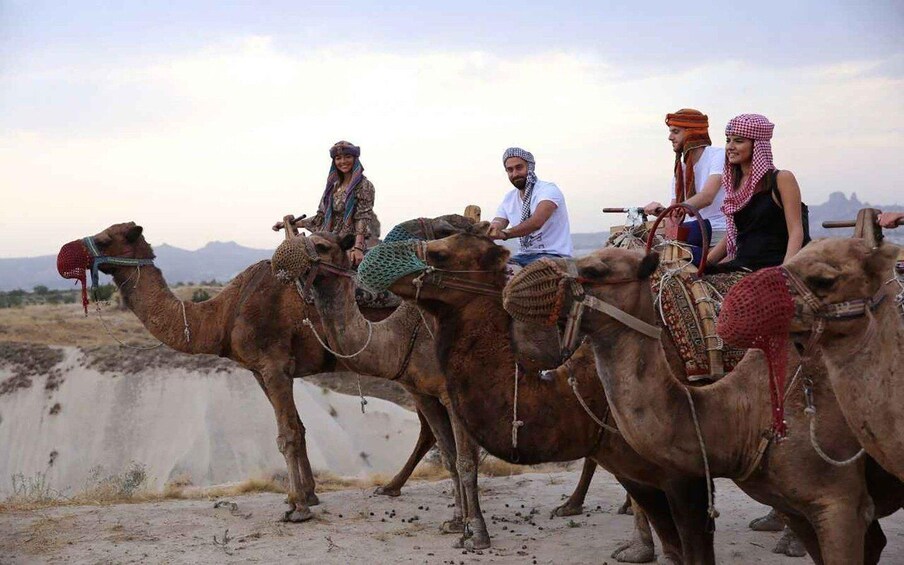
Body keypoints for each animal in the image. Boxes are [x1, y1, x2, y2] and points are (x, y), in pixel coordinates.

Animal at [56, 223, 442, 524]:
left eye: (105, 239)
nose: (65, 253)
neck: (223, 314)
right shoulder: (261, 371)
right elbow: (298, 429)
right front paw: (306, 496)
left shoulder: (274, 365)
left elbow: (287, 435)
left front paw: (298, 508)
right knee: (429, 426)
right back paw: (391, 487)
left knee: (432, 424)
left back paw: (394, 487)